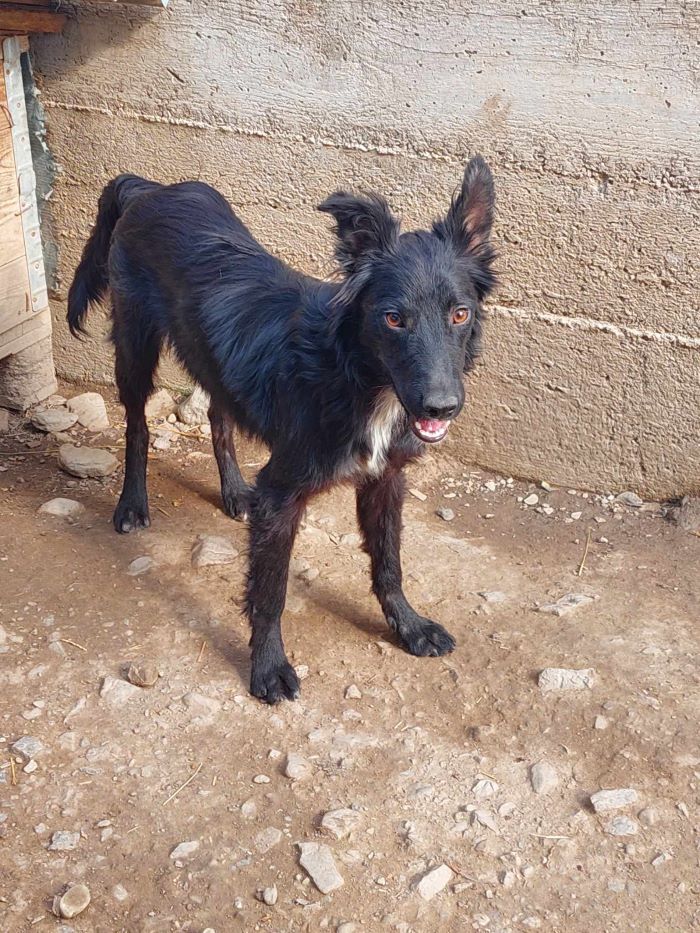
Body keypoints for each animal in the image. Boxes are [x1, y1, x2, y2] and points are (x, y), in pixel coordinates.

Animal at [68, 158, 494, 700]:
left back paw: (233, 491)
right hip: (135, 342)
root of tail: (150, 187)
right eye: (394, 319)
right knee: (138, 427)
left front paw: (409, 625)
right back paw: (132, 504)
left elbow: (389, 562)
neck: (355, 376)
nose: (442, 407)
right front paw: (268, 666)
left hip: (210, 356)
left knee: (218, 417)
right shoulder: (281, 493)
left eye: (460, 313)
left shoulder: (385, 479)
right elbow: (270, 591)